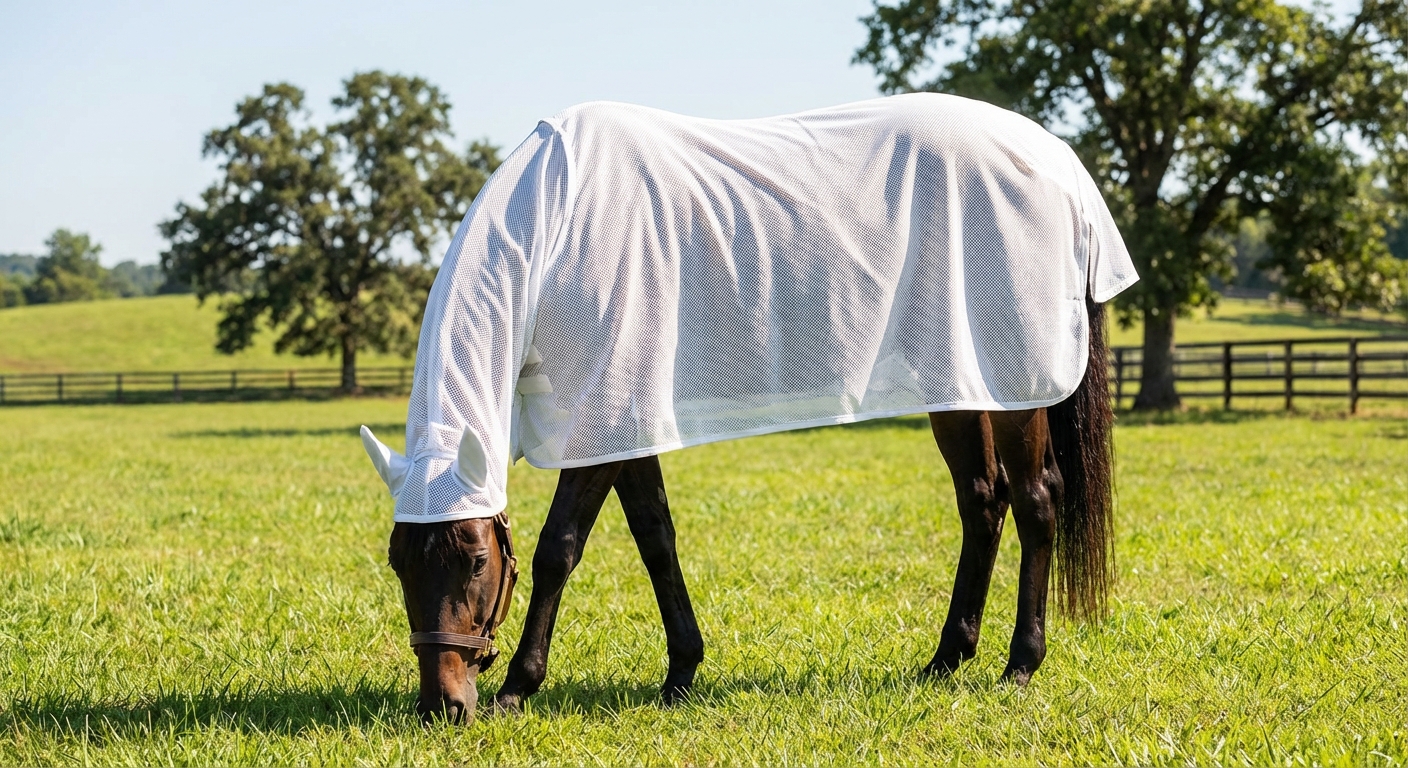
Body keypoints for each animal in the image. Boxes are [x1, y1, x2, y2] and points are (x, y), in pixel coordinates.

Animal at [362, 94, 1136, 724]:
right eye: (398, 563)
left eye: (473, 559)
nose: (442, 705)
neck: (557, 228)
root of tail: (1060, 161)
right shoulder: (625, 421)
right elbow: (656, 537)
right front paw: (680, 673)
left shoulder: (600, 416)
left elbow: (560, 549)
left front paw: (519, 688)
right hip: (961, 382)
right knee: (983, 500)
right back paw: (946, 659)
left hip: (1017, 388)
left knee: (1036, 501)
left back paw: (1019, 666)